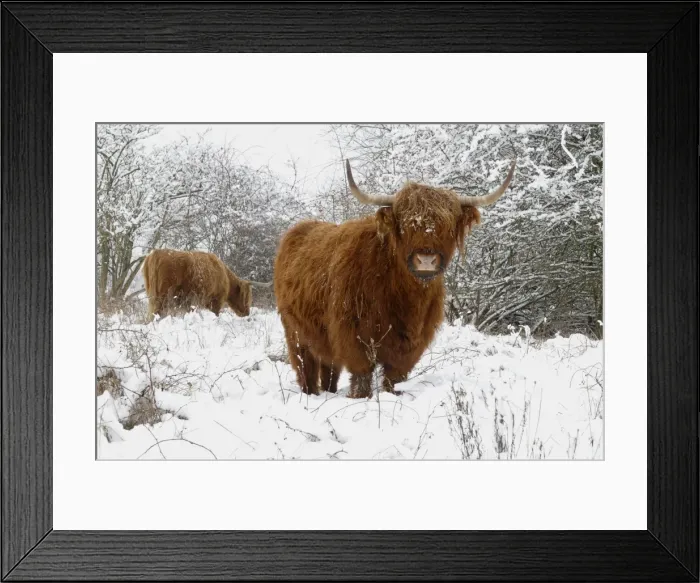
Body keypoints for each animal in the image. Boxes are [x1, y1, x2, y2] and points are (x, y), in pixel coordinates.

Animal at [273, 158, 516, 398]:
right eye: (406, 225)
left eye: (447, 226)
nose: (426, 260)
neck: (403, 296)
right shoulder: (354, 338)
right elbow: (362, 379)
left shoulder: (410, 346)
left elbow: (393, 380)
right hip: (296, 334)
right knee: (306, 368)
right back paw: (310, 394)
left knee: (329, 370)